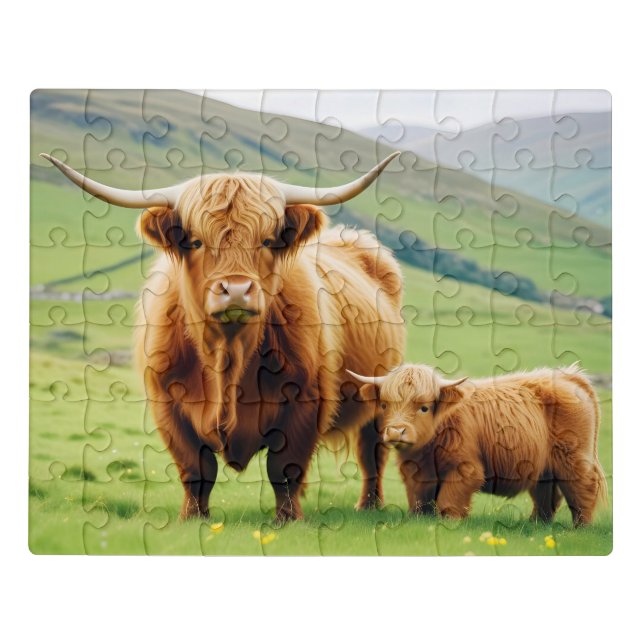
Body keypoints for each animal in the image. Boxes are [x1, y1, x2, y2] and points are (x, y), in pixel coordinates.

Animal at [42, 152, 406, 522]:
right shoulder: (168, 407)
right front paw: (192, 519)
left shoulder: (306, 401)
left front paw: (288, 520)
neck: (227, 358)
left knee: (371, 452)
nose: (236, 290)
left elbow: (284, 469)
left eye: (267, 241)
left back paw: (369, 505)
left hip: (381, 396)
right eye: (197, 241)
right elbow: (195, 470)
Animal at [347, 363, 607, 526]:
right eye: (384, 405)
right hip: (543, 466)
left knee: (582, 490)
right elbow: (419, 499)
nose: (396, 431)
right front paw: (419, 519)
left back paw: (581, 528)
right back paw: (536, 524)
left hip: (573, 458)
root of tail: (570, 376)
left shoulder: (465, 469)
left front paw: (450, 522)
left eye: (424, 407)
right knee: (546, 496)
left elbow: (449, 500)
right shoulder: (416, 471)